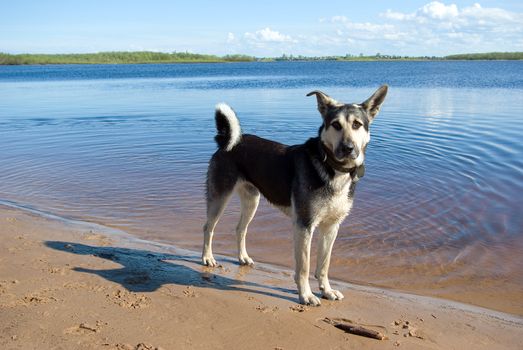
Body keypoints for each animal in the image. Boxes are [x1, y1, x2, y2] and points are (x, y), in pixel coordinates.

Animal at [203, 86, 386, 304]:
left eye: (357, 124)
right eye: (336, 125)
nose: (348, 149)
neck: (332, 168)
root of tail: (226, 142)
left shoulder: (331, 227)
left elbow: (324, 264)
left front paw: (327, 290)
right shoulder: (304, 225)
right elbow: (304, 267)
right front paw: (306, 295)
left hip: (252, 200)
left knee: (240, 229)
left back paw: (243, 257)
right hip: (220, 198)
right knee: (208, 228)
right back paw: (207, 258)